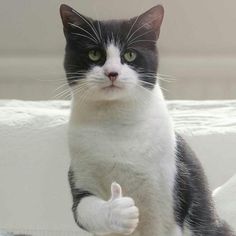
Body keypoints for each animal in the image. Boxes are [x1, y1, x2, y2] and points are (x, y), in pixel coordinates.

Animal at [59, 3, 234, 236]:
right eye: (94, 54)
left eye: (130, 54)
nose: (112, 73)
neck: (114, 125)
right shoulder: (80, 174)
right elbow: (84, 209)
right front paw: (118, 210)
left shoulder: (172, 187)